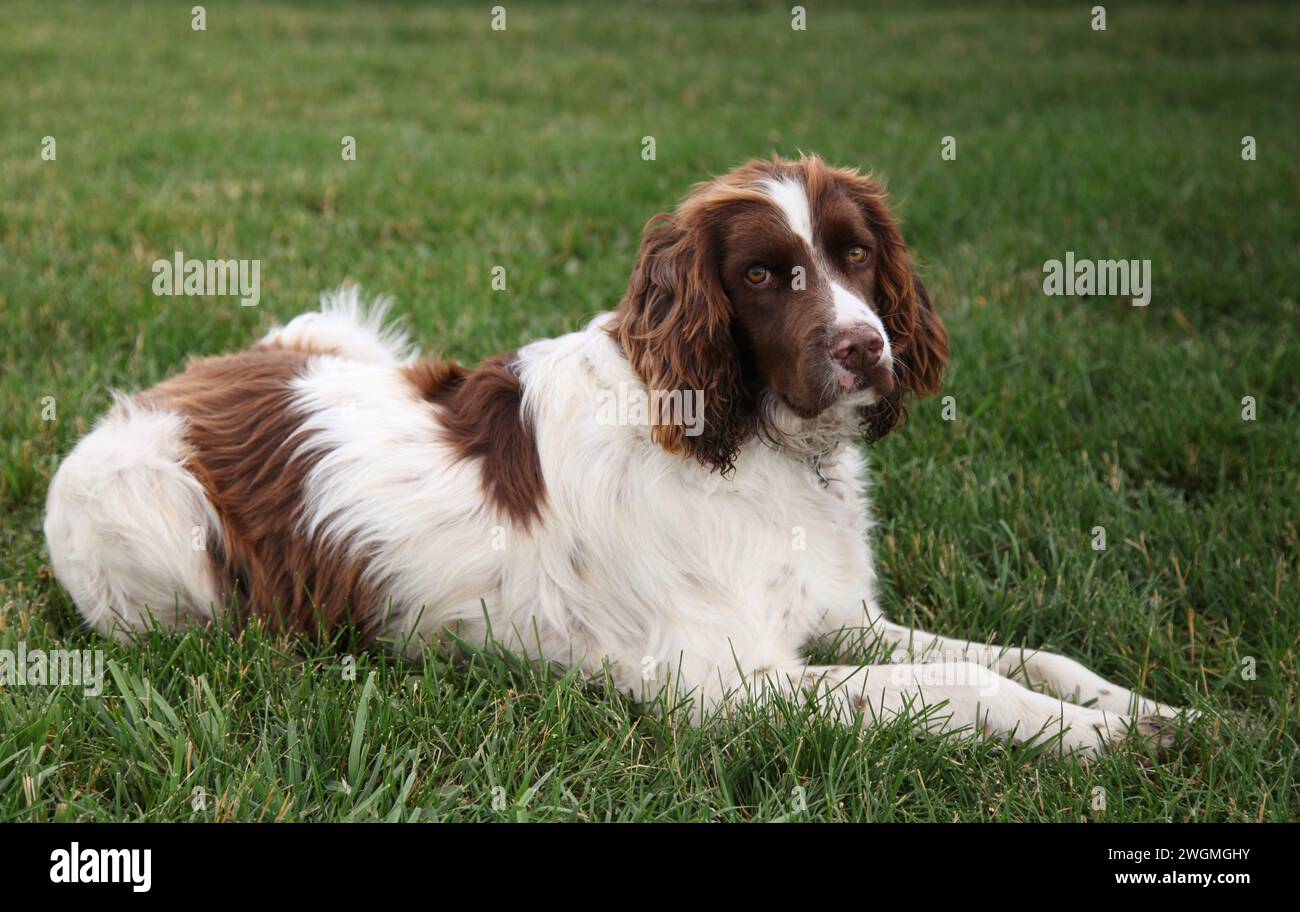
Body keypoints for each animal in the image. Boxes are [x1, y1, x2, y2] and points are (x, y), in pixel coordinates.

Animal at [43, 155, 1190, 758]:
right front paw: (1091, 739)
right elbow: (964, 686)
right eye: (763, 276)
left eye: (857, 255)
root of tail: (157, 393)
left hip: (332, 333)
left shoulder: (831, 619)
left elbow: (1021, 655)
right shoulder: (721, 681)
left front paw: (1141, 708)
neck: (752, 446)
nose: (868, 348)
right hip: (157, 524)